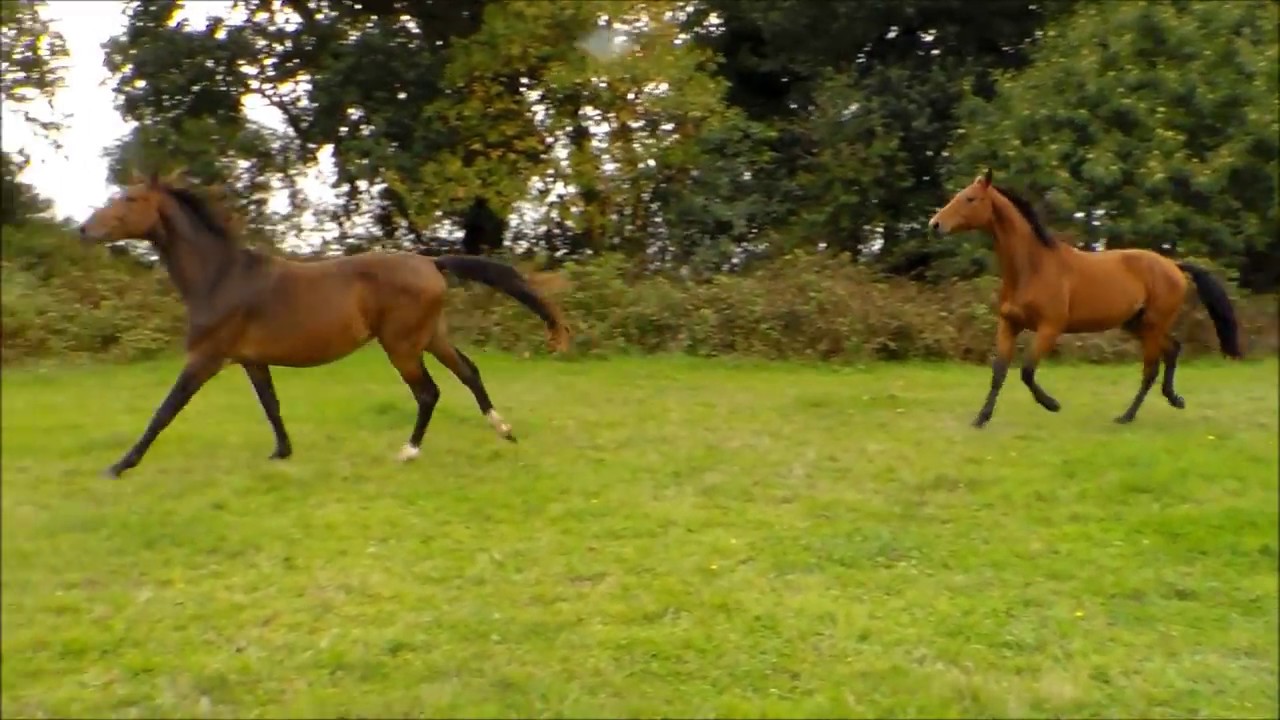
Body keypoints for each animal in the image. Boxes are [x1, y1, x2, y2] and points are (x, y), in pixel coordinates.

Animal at [78, 171, 572, 479]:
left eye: (130, 200)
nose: (84, 229)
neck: (220, 277)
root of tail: (431, 262)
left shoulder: (206, 358)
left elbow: (164, 412)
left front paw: (118, 466)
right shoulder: (251, 360)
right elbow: (271, 406)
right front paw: (282, 453)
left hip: (401, 345)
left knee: (428, 392)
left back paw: (408, 452)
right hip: (432, 336)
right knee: (469, 372)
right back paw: (504, 431)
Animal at [928, 168, 1243, 428]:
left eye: (970, 198)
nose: (935, 224)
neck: (1032, 268)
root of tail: (1173, 265)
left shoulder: (1050, 328)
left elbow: (1027, 371)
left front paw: (1052, 405)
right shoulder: (1009, 324)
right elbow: (999, 372)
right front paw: (980, 419)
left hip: (1153, 324)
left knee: (1151, 368)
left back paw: (1127, 416)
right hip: (1138, 324)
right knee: (1173, 350)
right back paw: (1174, 399)